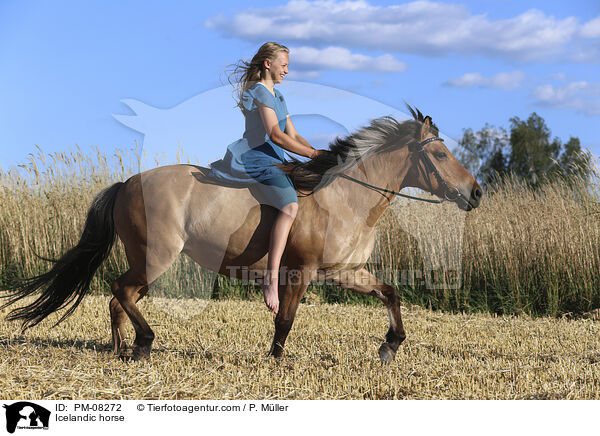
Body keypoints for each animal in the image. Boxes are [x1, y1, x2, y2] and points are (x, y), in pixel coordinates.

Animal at [1, 108, 482, 362]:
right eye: (441, 154)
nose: (476, 193)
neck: (345, 198)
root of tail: (127, 182)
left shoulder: (344, 272)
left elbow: (391, 293)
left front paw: (390, 346)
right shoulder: (300, 271)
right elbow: (285, 318)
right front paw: (276, 359)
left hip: (146, 260)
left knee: (120, 298)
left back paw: (123, 350)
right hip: (156, 256)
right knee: (120, 291)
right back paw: (144, 343)